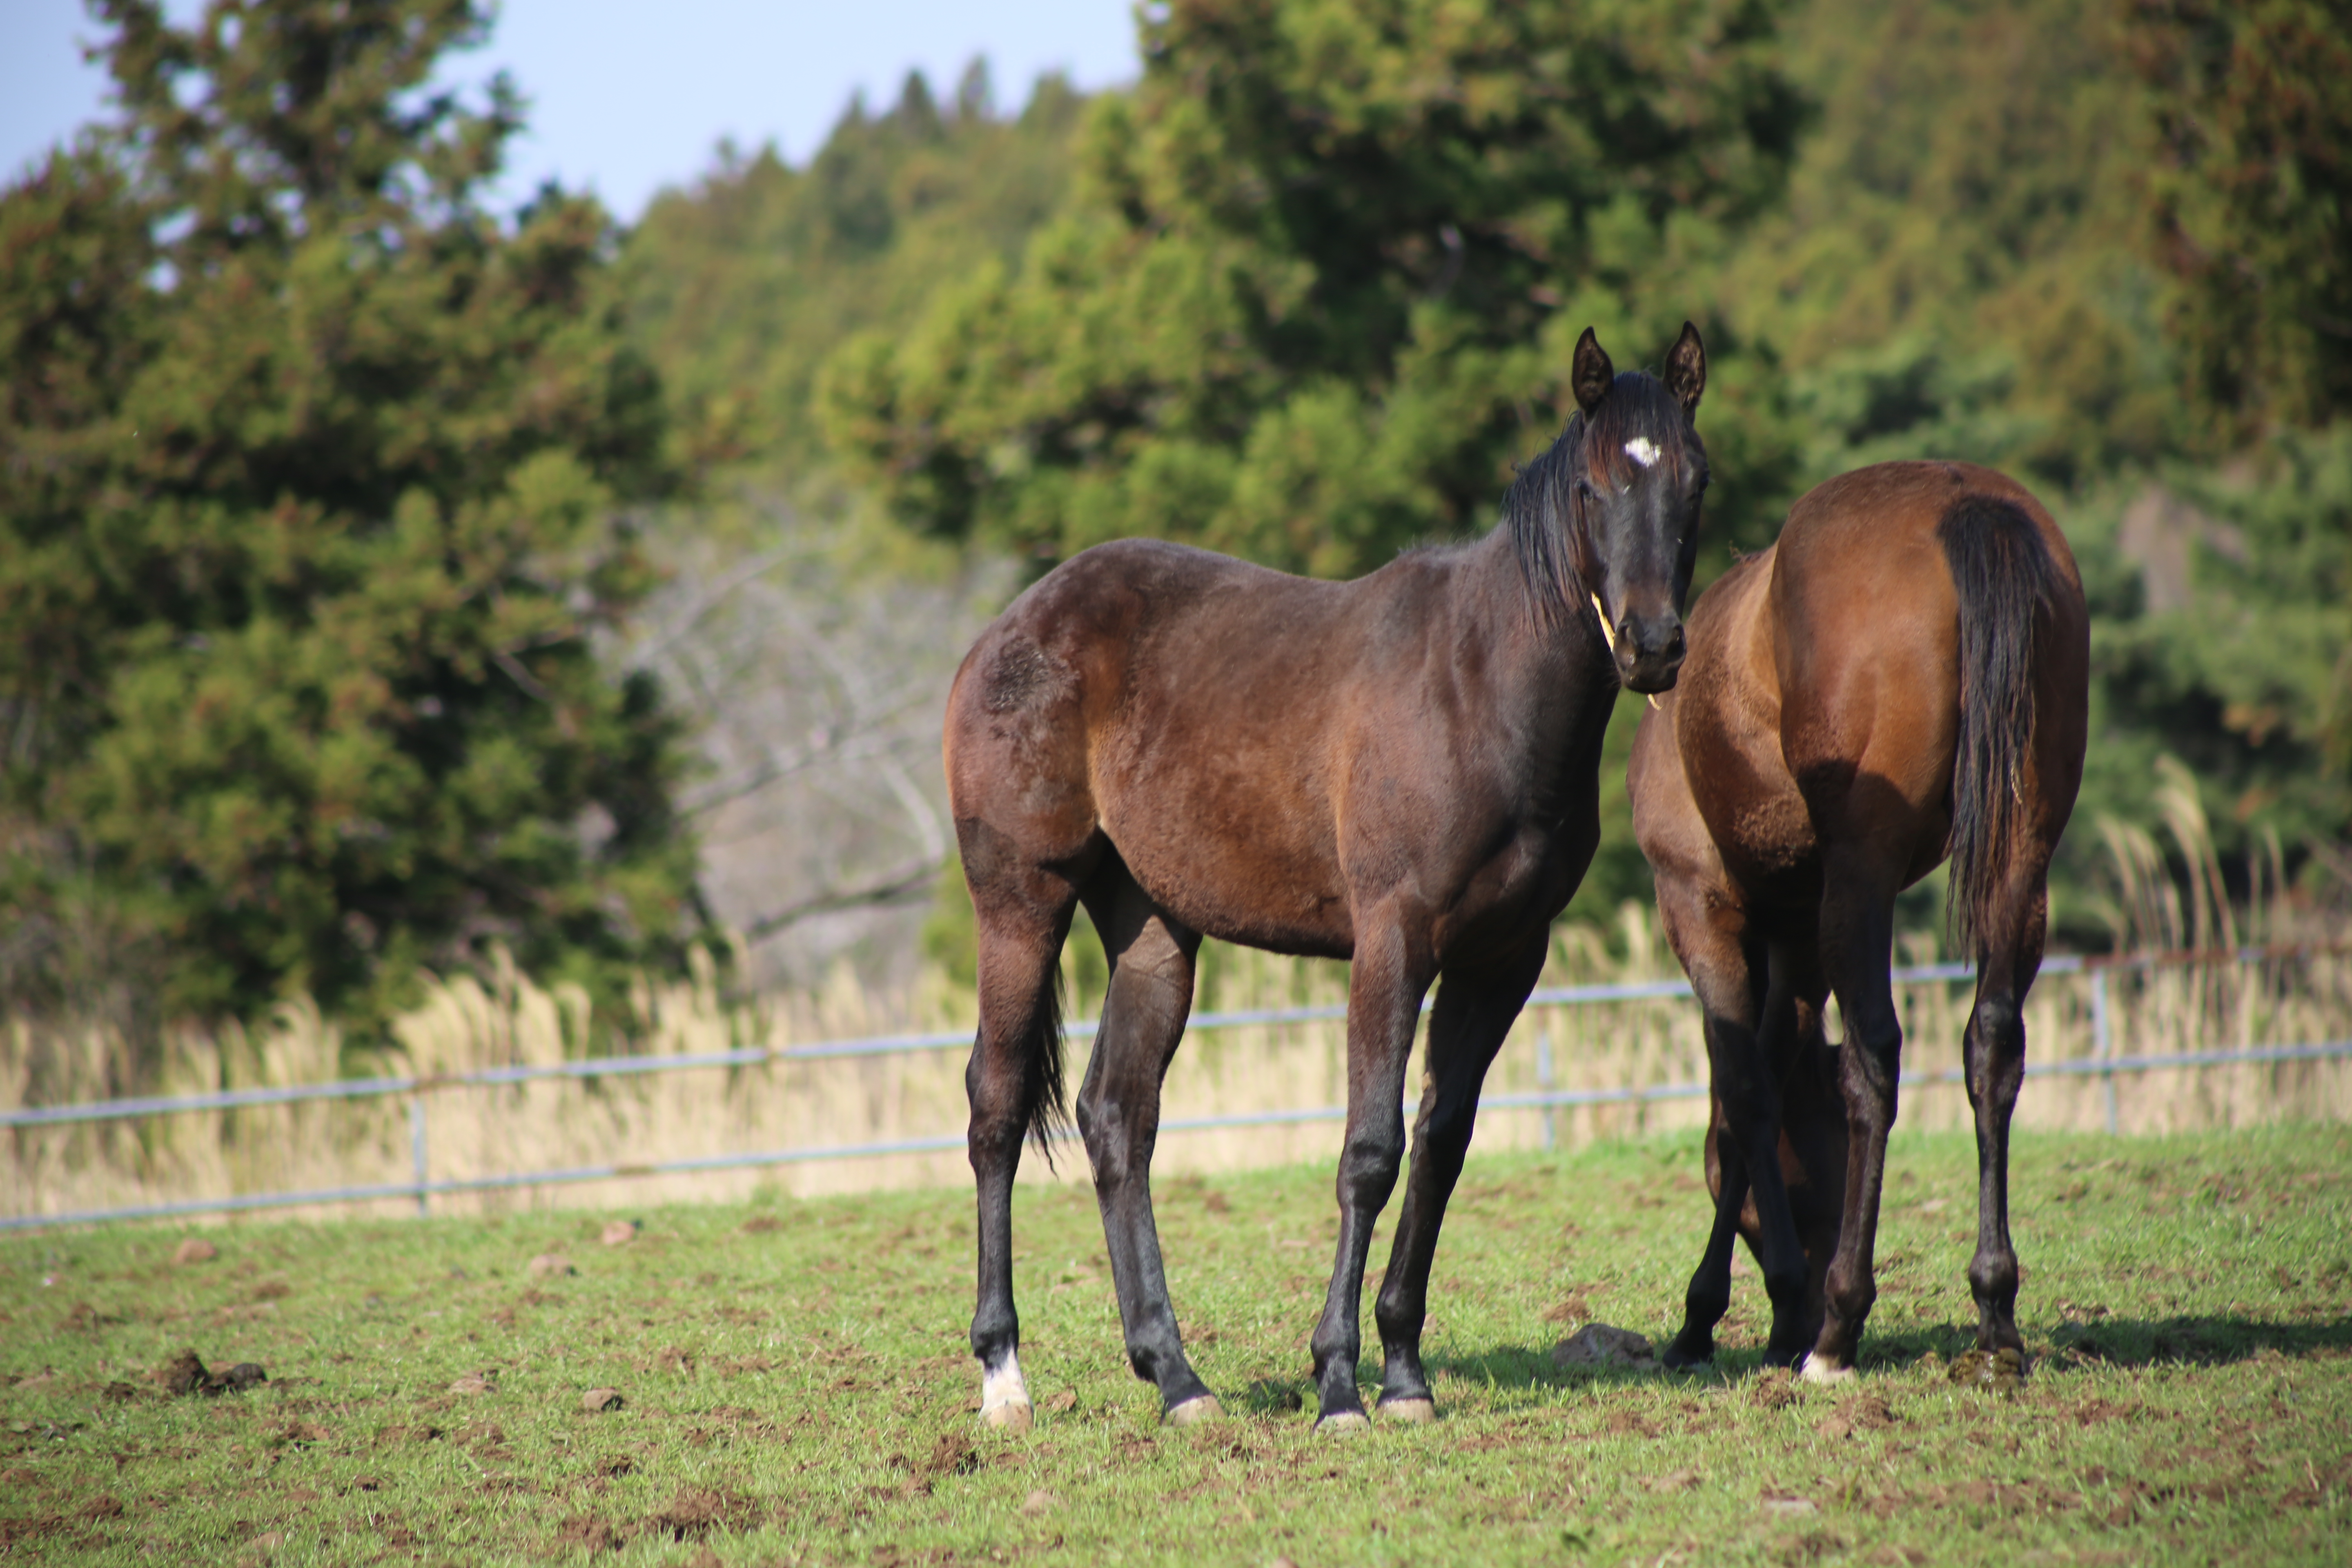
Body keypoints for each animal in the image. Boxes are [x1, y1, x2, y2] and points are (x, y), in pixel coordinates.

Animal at [945, 324, 1703, 1429]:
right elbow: (1369, 1151)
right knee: (997, 1108)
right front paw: (1341, 1380)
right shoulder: (1393, 941)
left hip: (1154, 932)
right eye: (1594, 486)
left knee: (1116, 1120)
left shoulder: (1502, 961)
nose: (1652, 646)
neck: (1477, 685)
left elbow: (1441, 1147)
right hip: (1020, 902)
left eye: (1693, 477)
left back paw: (1175, 1377)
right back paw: (1004, 1374)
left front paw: (1403, 1369)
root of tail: (1005, 631)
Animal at [1627, 461, 2088, 1382]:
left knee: (1875, 1058)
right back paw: (1994, 1315)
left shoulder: (1701, 908)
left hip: (1861, 877)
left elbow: (1744, 1095)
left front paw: (1715, 1313)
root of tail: (1966, 505)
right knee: (1994, 1044)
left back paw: (1839, 1329)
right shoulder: (1796, 940)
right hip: (2021, 861)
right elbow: (1767, 1078)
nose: (1804, 1296)